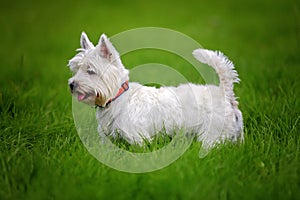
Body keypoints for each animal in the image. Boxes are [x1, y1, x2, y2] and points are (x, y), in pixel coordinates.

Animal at [68, 32, 244, 148]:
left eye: (90, 71)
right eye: (76, 69)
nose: (72, 85)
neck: (118, 97)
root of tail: (225, 93)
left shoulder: (138, 138)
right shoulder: (108, 139)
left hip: (212, 134)